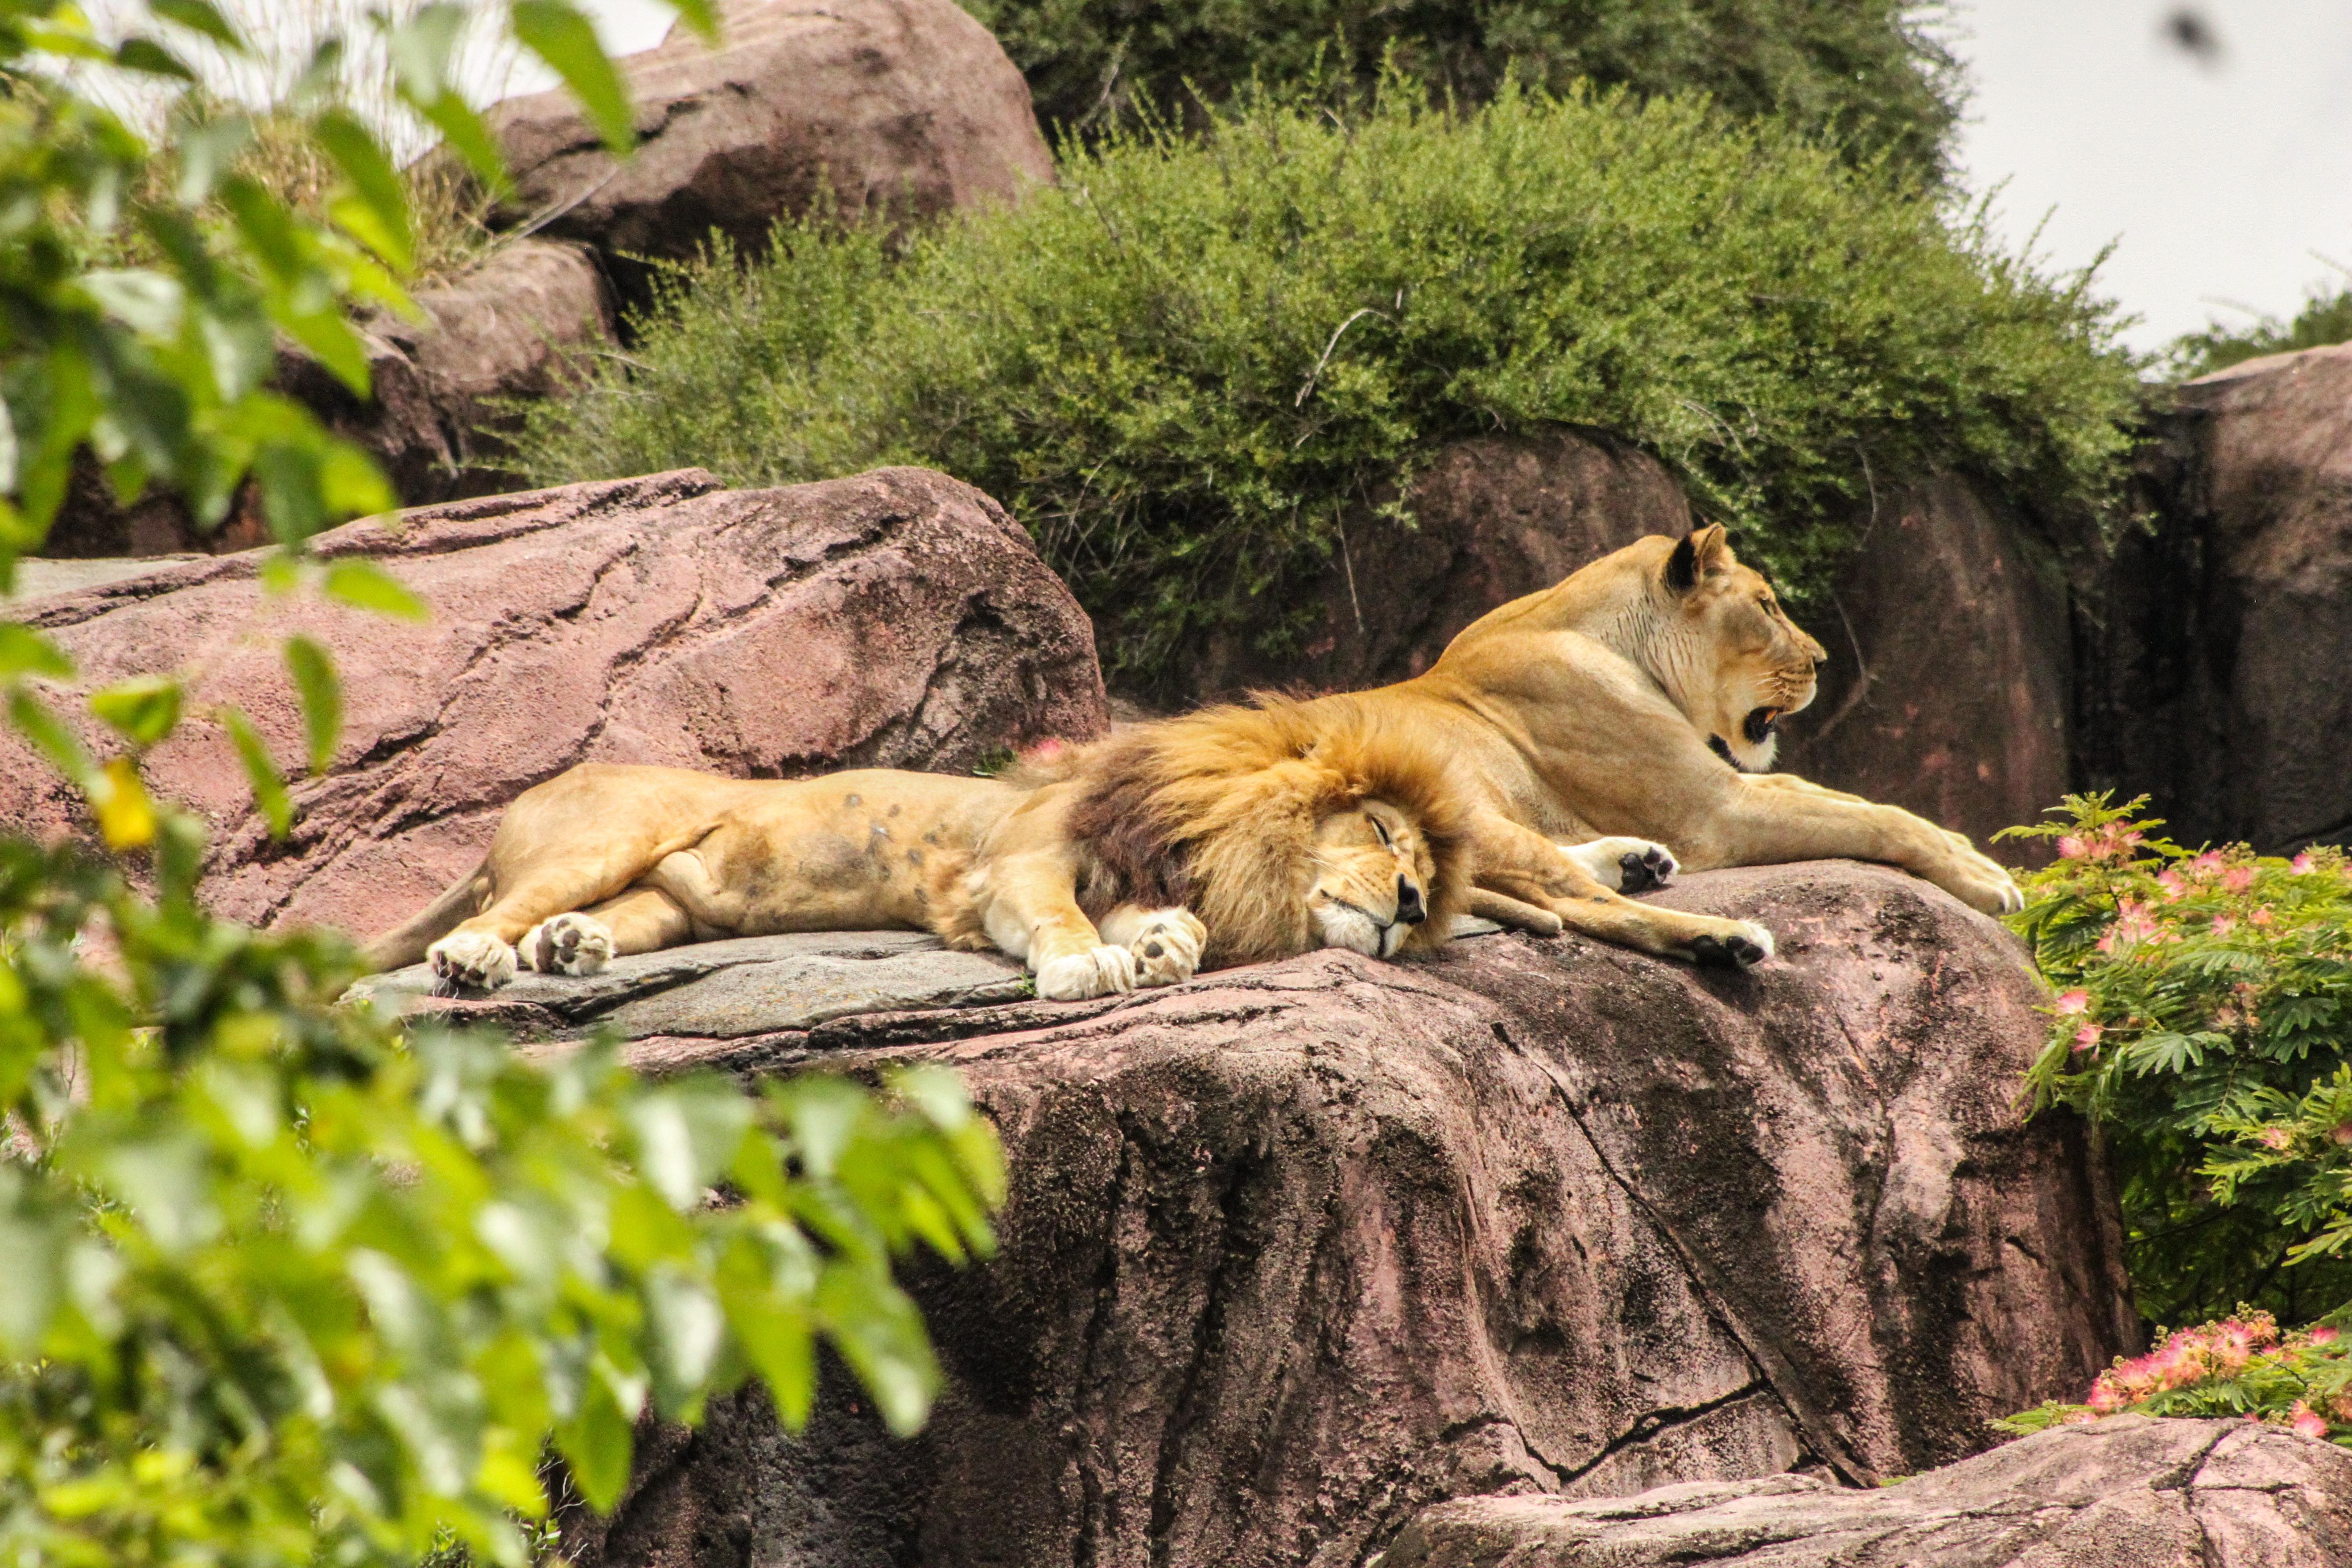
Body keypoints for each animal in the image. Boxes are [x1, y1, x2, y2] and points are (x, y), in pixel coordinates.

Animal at [357, 700, 1571, 1006]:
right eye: (1381, 832)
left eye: (1426, 884)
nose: (1410, 903)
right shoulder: (1019, 862)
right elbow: (1062, 919)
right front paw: (1088, 965)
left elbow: (1150, 918)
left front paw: (1166, 949)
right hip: (605, 836)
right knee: (491, 915)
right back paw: (478, 962)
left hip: (675, 899)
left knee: (600, 920)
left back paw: (569, 952)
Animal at [1279, 526, 2032, 968]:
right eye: (1766, 606)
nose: (1822, 661)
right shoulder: (1714, 812)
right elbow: (1880, 820)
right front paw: (1989, 883)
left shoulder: (1724, 786)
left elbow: (1853, 799)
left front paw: (1971, 853)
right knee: (1575, 905)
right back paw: (1722, 938)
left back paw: (1639, 862)